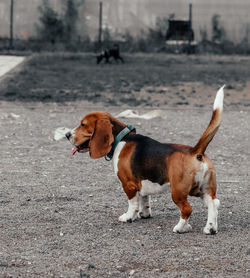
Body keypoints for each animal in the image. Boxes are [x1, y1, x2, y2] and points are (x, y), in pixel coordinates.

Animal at [66, 86, 225, 233]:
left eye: (83, 124)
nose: (67, 135)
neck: (121, 139)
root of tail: (195, 151)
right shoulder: (141, 183)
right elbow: (144, 199)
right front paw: (144, 214)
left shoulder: (128, 184)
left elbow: (132, 204)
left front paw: (128, 217)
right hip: (202, 189)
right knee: (214, 204)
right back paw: (210, 228)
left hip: (178, 191)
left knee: (187, 209)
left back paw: (181, 228)